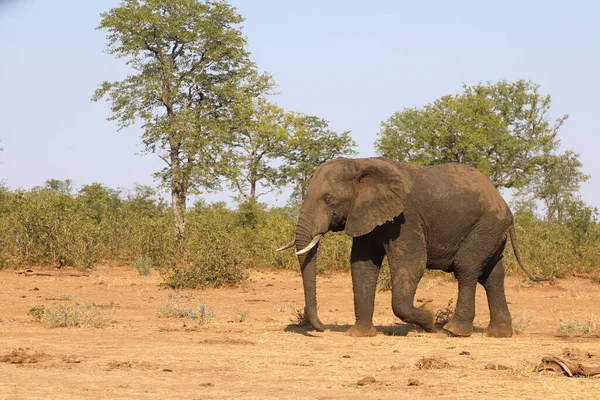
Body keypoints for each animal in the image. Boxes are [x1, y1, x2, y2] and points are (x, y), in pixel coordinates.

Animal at [278, 156, 548, 338]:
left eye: (328, 200)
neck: (360, 164)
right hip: (492, 231)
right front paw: (359, 334)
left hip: (486, 226)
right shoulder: (367, 214)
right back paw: (498, 334)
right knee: (493, 276)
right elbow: (362, 266)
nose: (323, 328)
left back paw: (453, 331)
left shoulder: (405, 218)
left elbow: (410, 265)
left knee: (467, 268)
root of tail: (504, 205)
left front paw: (429, 319)